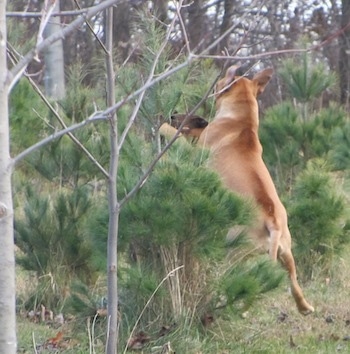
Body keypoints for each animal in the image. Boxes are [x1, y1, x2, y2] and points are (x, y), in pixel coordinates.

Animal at [197, 67, 314, 316]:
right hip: (287, 252)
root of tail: (272, 221)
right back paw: (304, 307)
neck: (243, 122)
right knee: (293, 282)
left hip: (234, 250)